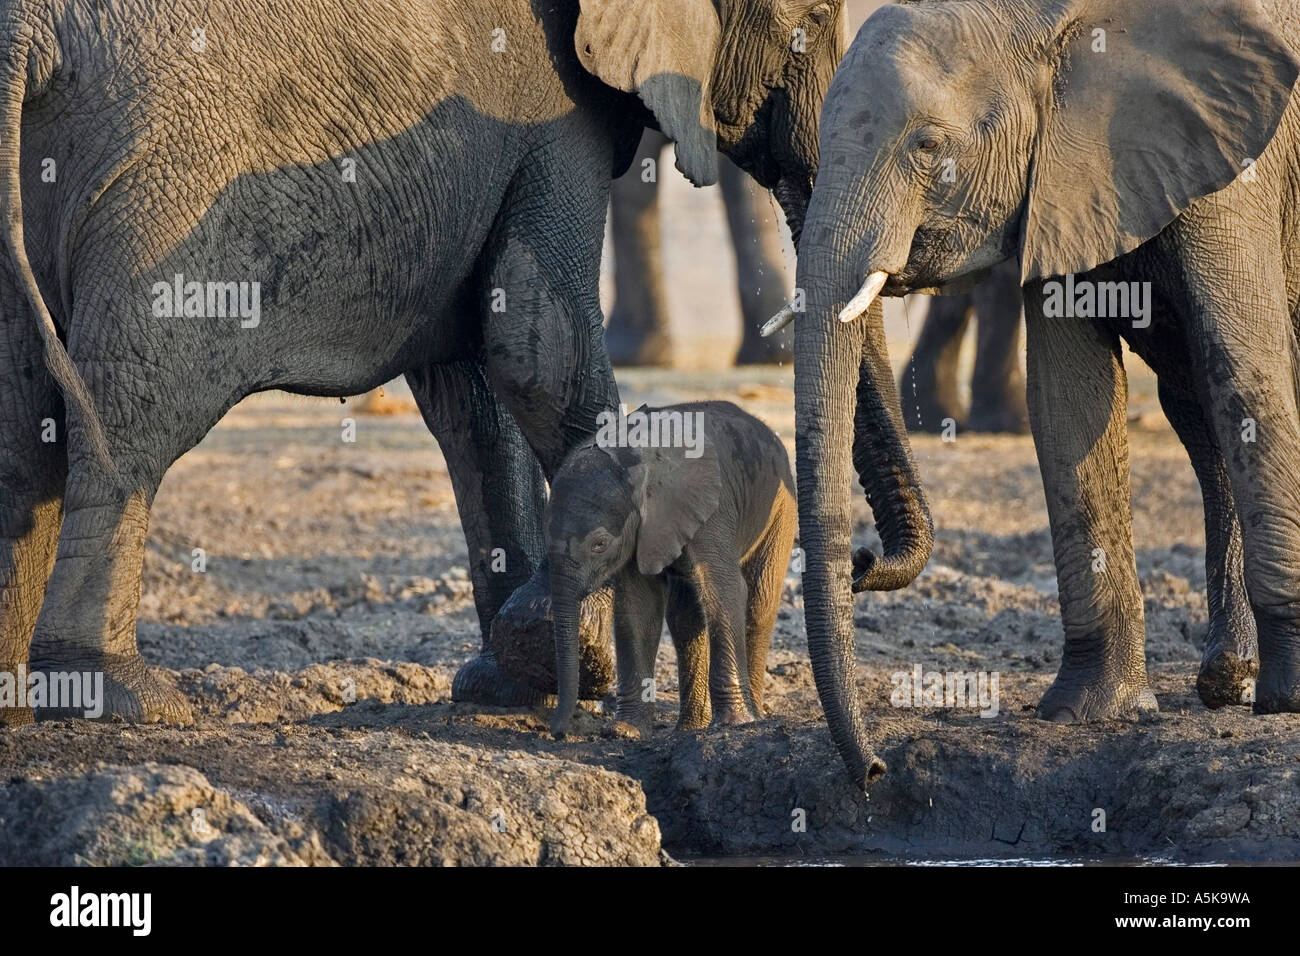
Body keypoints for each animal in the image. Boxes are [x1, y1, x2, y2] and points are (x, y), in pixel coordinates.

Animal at [546, 400, 795, 738]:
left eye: (599, 545)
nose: (557, 732)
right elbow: (638, 606)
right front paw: (625, 731)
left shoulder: (710, 508)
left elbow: (725, 589)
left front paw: (735, 723)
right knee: (685, 618)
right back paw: (690, 728)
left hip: (780, 507)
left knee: (759, 603)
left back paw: (753, 716)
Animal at [774, 0, 1294, 790]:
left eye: (928, 146)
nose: (875, 772)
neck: (1045, 23)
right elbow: (1067, 396)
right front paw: (1089, 713)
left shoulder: (1234, 162)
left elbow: (1247, 365)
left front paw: (1291, 701)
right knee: (1193, 410)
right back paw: (1225, 681)